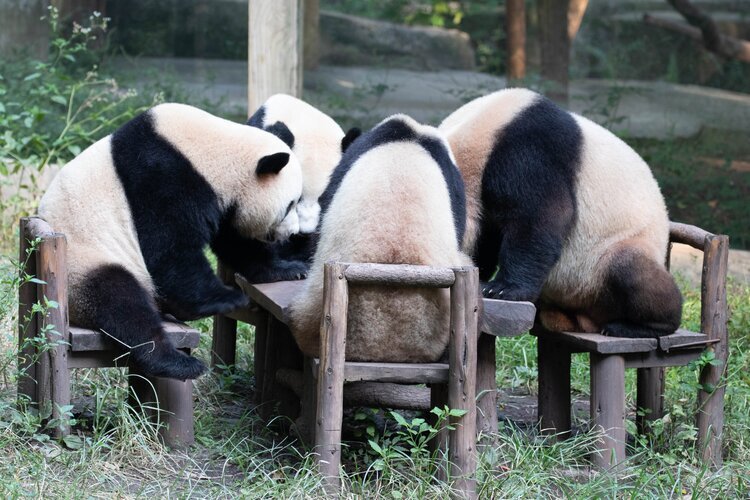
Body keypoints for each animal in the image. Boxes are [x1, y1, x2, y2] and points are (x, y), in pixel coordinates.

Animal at [38, 103, 303, 380]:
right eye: (290, 205)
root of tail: (68, 311)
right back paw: (177, 362)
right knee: (124, 305)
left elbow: (235, 242)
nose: (293, 233)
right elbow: (171, 252)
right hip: (85, 262)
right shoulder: (162, 177)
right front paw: (228, 298)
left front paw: (288, 269)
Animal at [438, 88, 682, 338]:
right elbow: (488, 235)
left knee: (631, 270)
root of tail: (590, 319)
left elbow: (540, 218)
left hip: (613, 253)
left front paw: (502, 288)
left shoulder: (528, 149)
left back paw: (640, 325)